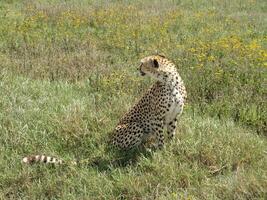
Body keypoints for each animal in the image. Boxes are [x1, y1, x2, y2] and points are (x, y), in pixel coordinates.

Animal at [22, 54, 186, 164]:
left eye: (142, 64)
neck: (170, 81)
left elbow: (171, 134)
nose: (137, 68)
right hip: (135, 126)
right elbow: (161, 137)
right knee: (124, 150)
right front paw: (161, 150)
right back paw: (142, 150)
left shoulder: (174, 116)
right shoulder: (158, 117)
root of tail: (108, 140)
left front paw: (170, 147)